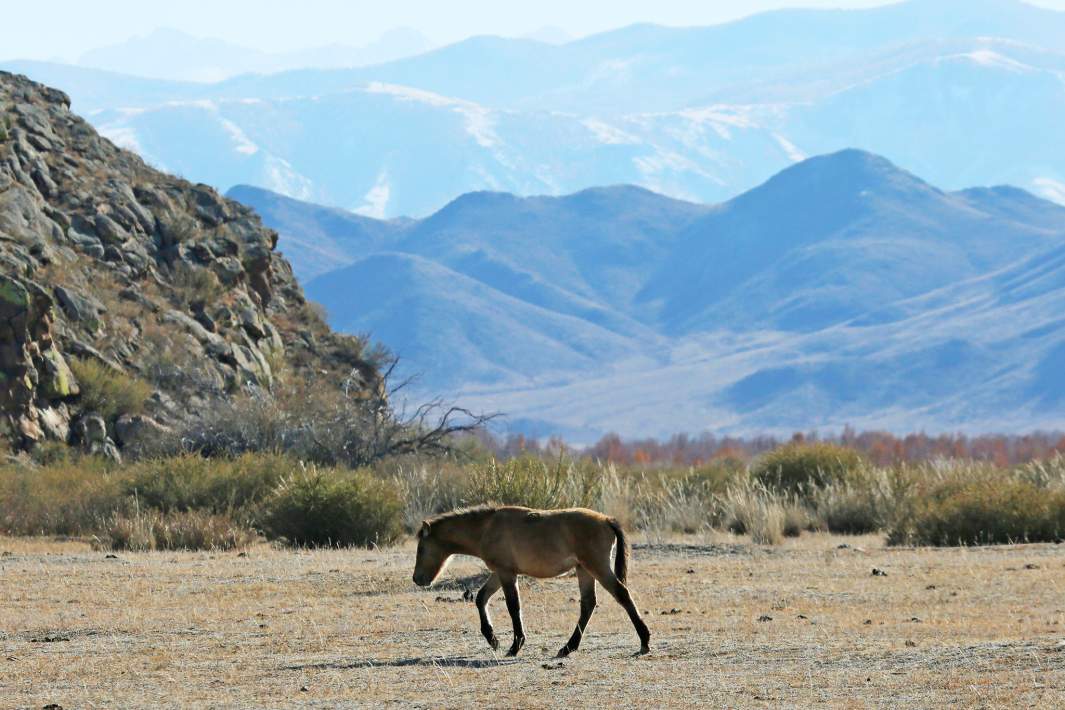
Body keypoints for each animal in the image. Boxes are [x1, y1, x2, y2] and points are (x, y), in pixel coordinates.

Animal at [413, 504, 647, 655]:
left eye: (421, 548)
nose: (417, 579)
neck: (486, 527)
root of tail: (607, 520)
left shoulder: (507, 573)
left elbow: (513, 606)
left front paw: (515, 646)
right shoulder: (500, 572)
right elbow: (481, 598)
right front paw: (493, 640)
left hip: (596, 567)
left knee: (622, 594)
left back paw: (644, 641)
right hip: (584, 570)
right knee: (588, 604)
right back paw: (567, 648)